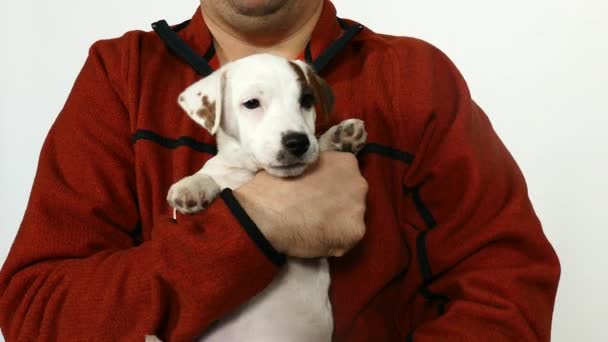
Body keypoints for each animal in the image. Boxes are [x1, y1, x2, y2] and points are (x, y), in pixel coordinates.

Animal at [159, 54, 366, 342]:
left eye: (306, 100)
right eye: (251, 103)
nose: (297, 142)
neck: (253, 170)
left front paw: (338, 138)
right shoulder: (227, 171)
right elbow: (213, 174)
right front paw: (192, 185)